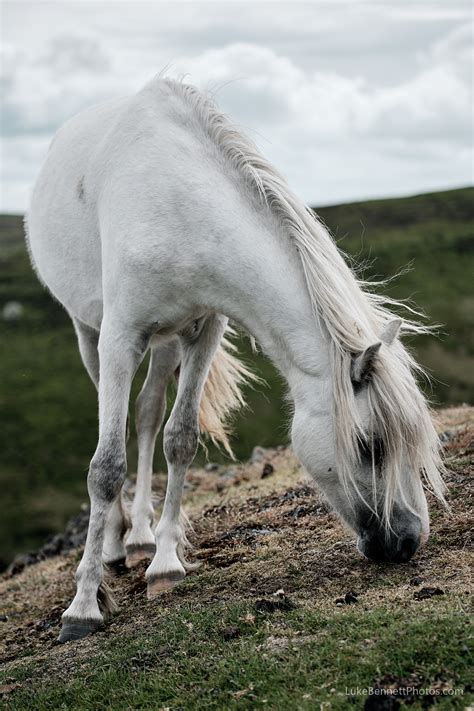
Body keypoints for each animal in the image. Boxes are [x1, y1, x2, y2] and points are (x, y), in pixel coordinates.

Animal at [25, 78, 444, 644]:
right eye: (370, 445)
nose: (408, 541)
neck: (179, 201)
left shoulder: (205, 328)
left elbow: (179, 439)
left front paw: (166, 564)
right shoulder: (119, 337)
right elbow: (105, 467)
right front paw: (84, 607)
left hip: (168, 341)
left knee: (149, 413)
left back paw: (142, 537)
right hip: (88, 331)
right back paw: (114, 545)